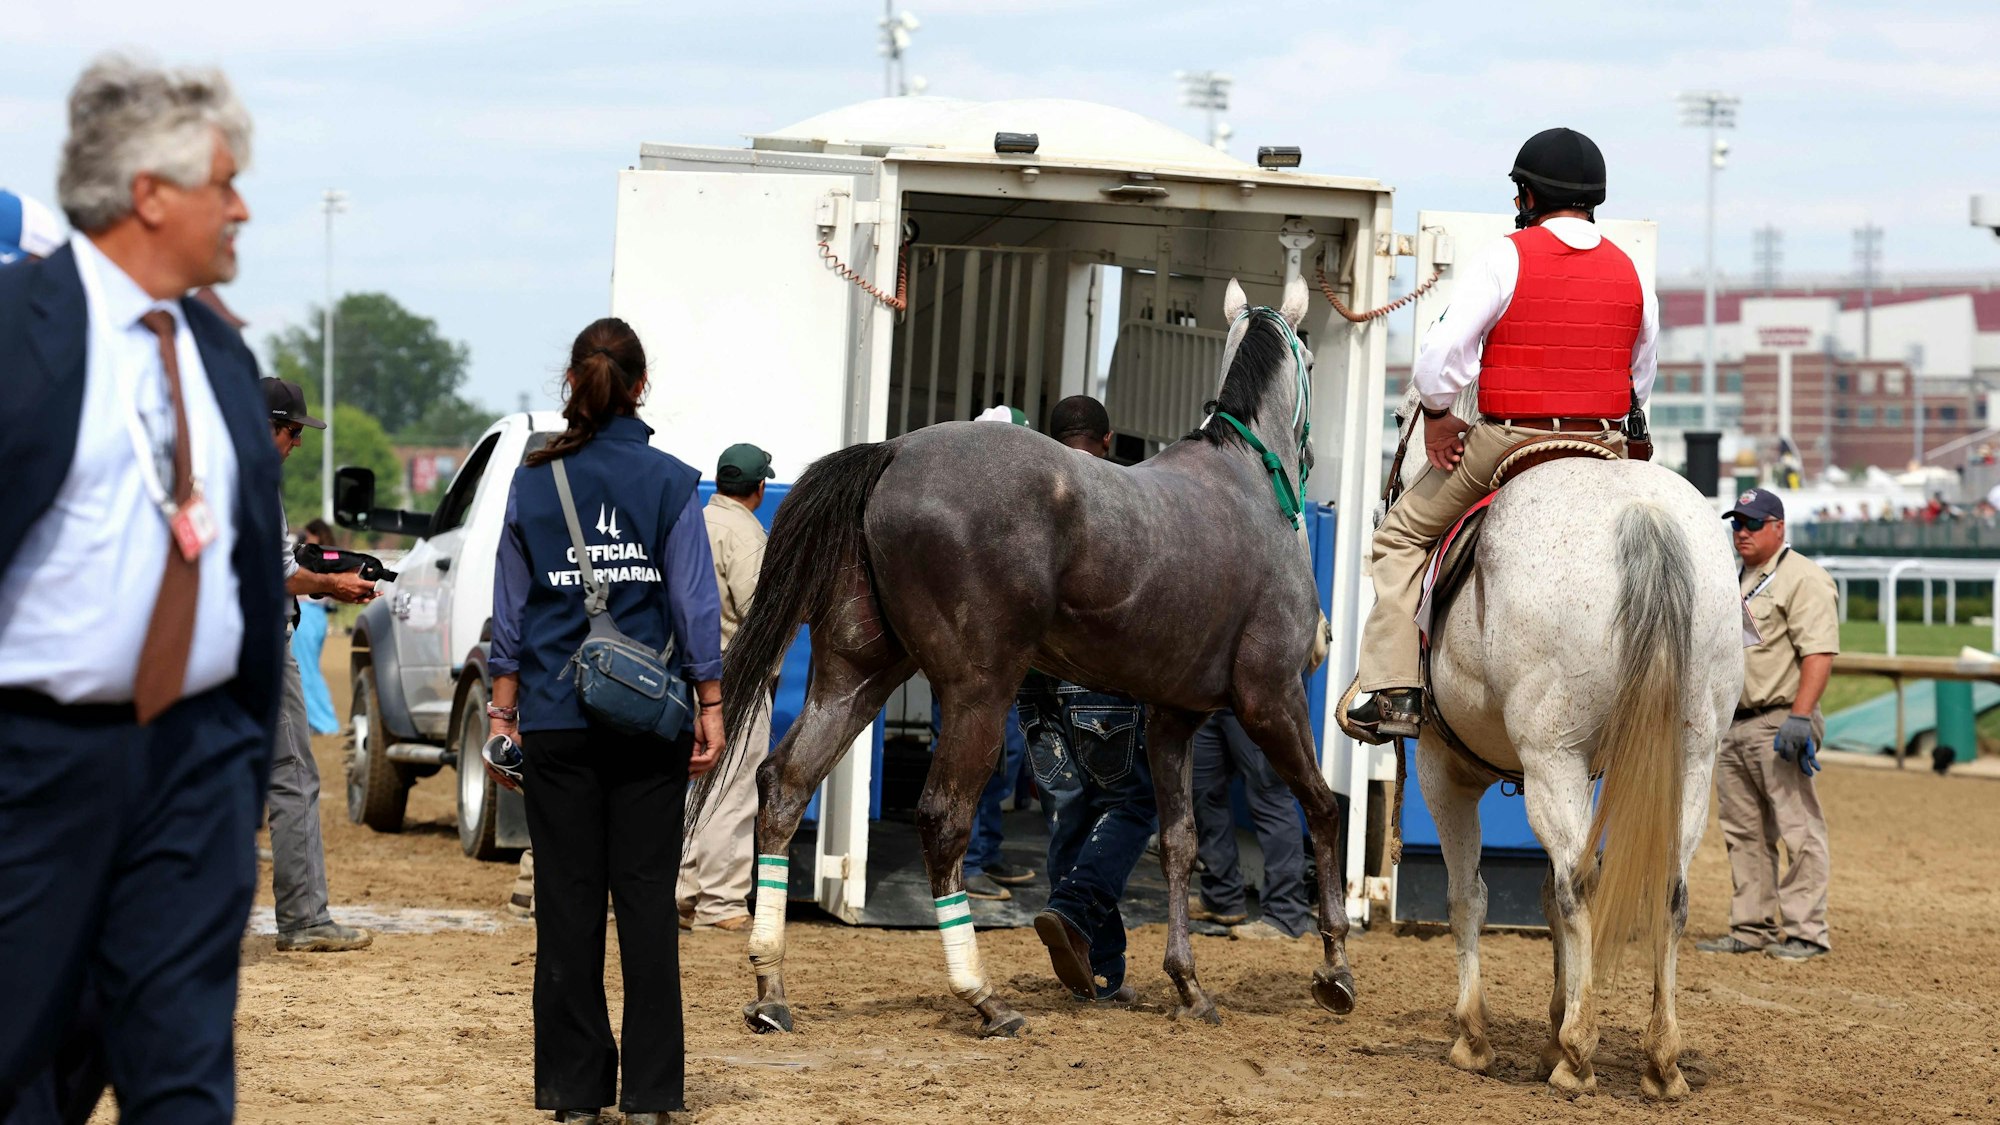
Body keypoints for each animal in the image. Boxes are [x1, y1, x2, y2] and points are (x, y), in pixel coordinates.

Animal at [703, 275, 1350, 1038]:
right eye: (1311, 355)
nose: (1311, 460)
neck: (1247, 479)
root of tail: (893, 452)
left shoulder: (1174, 716)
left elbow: (1179, 841)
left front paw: (1189, 984)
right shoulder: (1271, 698)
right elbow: (1322, 810)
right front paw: (1335, 967)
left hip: (856, 675)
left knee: (784, 783)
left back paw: (770, 987)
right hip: (979, 691)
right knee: (943, 818)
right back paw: (983, 996)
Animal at [1372, 384, 1742, 1099]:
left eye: (1401, 426)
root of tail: (1642, 516)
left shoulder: (1444, 771)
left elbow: (1469, 895)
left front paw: (1475, 1037)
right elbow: (1541, 896)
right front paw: (1549, 1027)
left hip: (1551, 759)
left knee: (1577, 883)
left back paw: (1577, 1056)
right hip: (1689, 759)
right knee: (1669, 888)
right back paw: (1660, 1060)